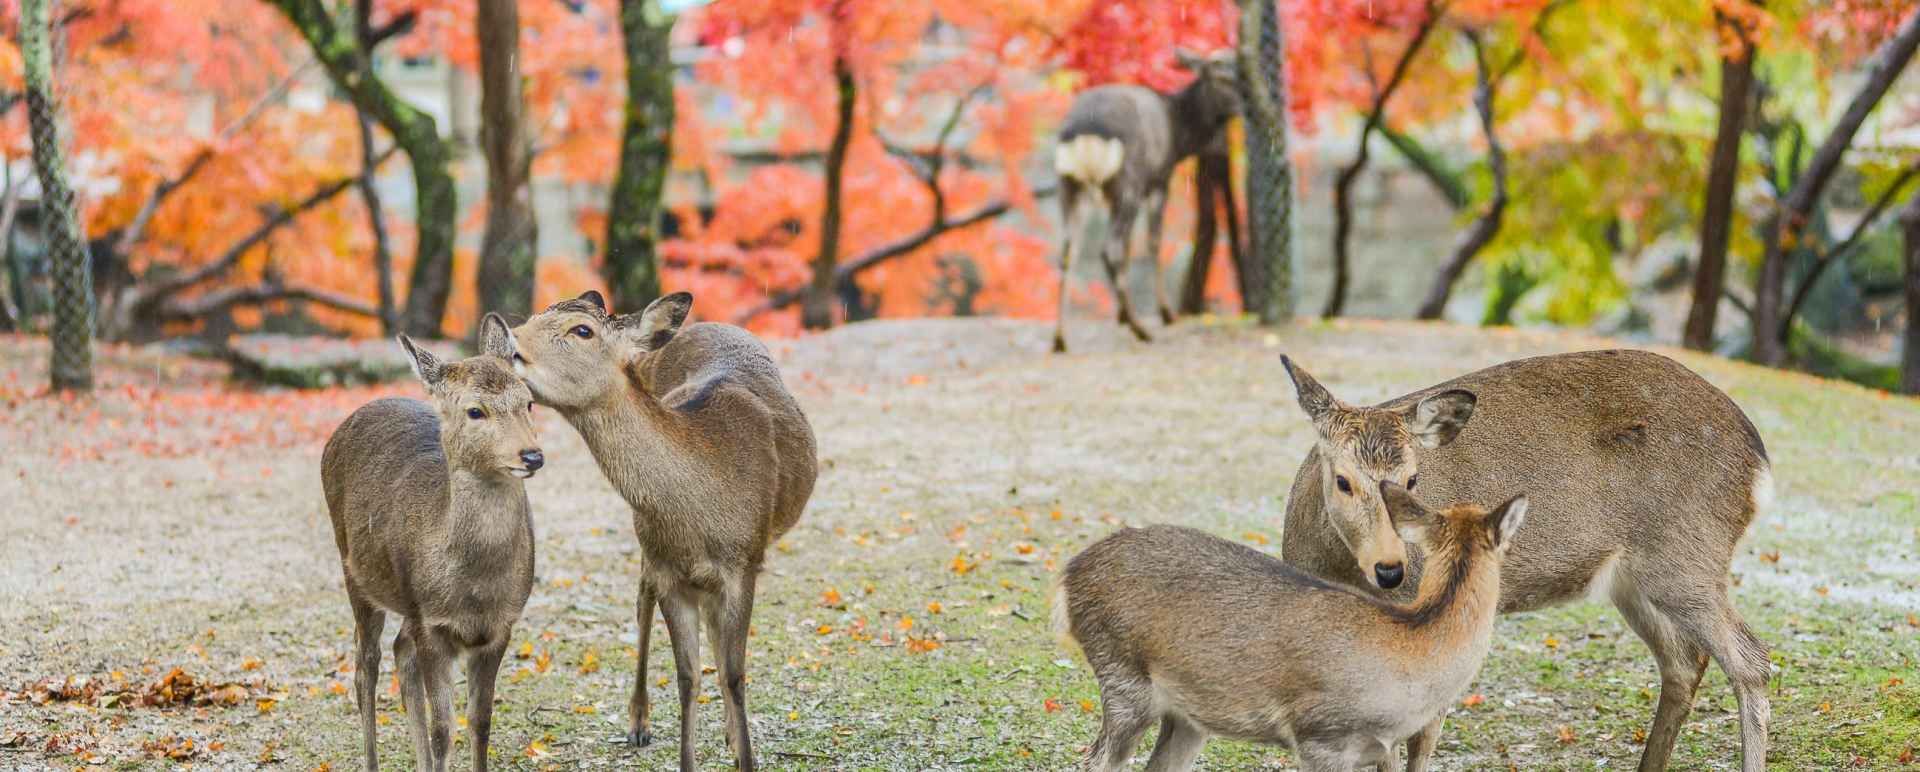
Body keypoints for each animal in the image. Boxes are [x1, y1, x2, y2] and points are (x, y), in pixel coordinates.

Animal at [321, 325, 541, 772]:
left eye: (528, 400)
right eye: (475, 411)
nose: (532, 455)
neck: (476, 590)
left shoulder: (500, 627)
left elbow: (480, 720)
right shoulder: (433, 626)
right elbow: (444, 729)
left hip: (408, 603)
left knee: (398, 649)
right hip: (355, 572)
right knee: (365, 666)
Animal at [494, 290, 816, 772]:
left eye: (582, 330)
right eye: (533, 316)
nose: (506, 342)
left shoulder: (744, 563)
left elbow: (733, 672)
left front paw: (745, 755)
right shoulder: (670, 572)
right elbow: (687, 675)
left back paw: (727, 733)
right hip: (645, 537)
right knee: (642, 595)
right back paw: (639, 723)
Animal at [1051, 48, 1241, 353]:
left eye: (1243, 70)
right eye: (1222, 76)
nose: (1245, 106)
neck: (1178, 136)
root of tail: (1085, 133)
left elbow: (1131, 247)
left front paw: (1120, 315)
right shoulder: (1158, 180)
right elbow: (1153, 242)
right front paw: (1165, 314)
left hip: (1069, 186)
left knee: (1069, 251)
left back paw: (1060, 339)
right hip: (1127, 181)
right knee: (1110, 247)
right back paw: (1139, 328)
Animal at [1054, 482, 1528, 772]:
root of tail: (1067, 576)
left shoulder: (1382, 746)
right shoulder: (1319, 735)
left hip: (1185, 713)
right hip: (1122, 678)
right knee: (1095, 760)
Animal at [1277, 350, 1774, 772]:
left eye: (1413, 478)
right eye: (1343, 480)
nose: (1391, 569)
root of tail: (1758, 460)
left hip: (1687, 553)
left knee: (1751, 659)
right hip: (1634, 578)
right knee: (1684, 661)